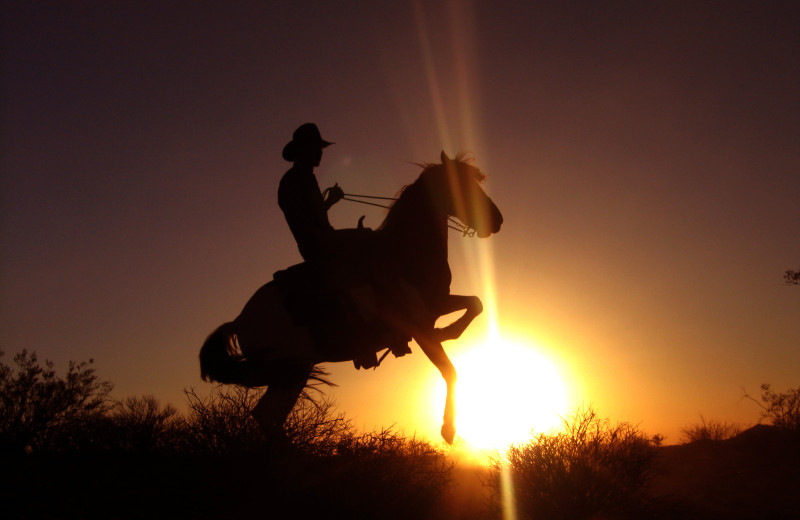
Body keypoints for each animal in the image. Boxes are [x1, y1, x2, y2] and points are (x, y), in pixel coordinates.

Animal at [198, 150, 500, 442]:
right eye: (460, 183)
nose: (496, 219)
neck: (405, 253)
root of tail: (240, 320)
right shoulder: (418, 325)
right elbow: (450, 371)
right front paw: (448, 429)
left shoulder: (434, 307)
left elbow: (475, 303)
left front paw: (450, 331)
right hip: (289, 371)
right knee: (268, 415)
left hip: (295, 371)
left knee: (267, 416)